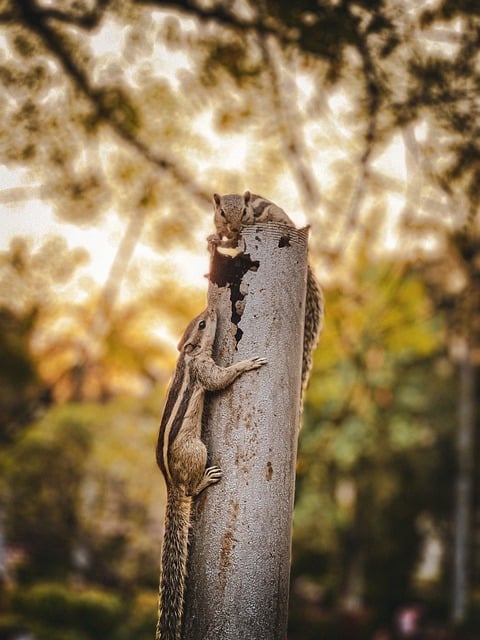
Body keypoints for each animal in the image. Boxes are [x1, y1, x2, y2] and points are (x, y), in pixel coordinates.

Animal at [155, 306, 267, 640]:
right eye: (203, 324)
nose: (212, 310)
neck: (187, 356)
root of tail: (171, 484)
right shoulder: (204, 370)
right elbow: (220, 379)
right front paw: (246, 365)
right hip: (197, 450)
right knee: (191, 490)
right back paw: (204, 480)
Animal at [209, 190, 323, 396]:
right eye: (221, 212)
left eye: (244, 211)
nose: (236, 227)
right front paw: (212, 239)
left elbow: (233, 242)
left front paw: (218, 240)